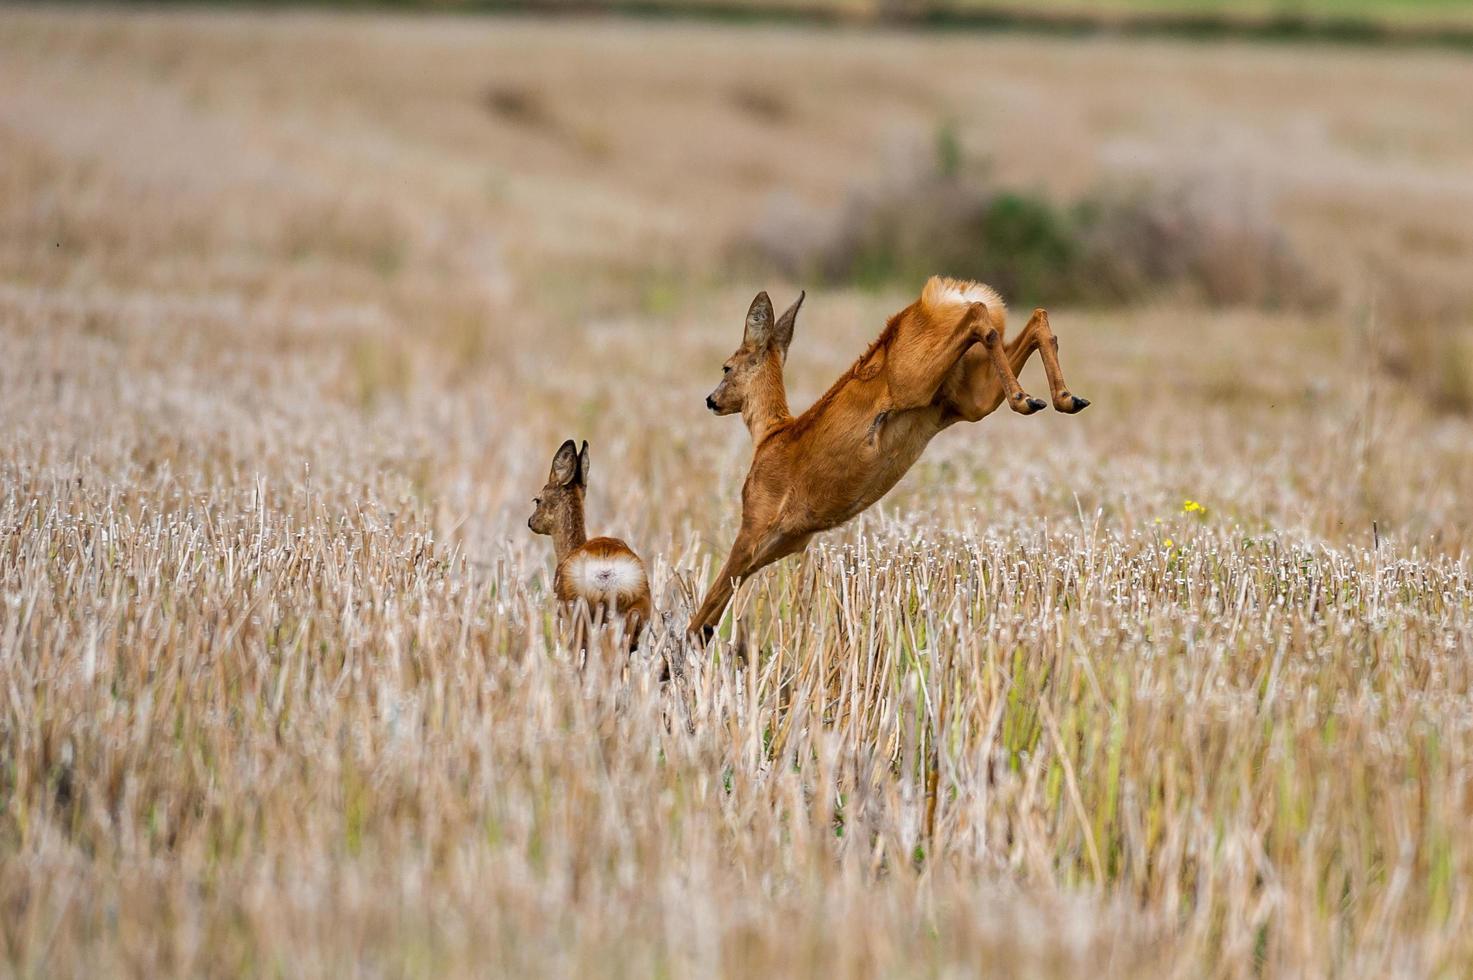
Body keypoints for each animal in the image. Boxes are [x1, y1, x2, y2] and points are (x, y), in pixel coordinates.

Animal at [686, 277, 1084, 642]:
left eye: (726, 367)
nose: (710, 400)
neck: (770, 435)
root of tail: (941, 295)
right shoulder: (788, 541)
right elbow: (715, 607)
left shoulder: (756, 523)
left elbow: (709, 602)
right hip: (969, 398)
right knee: (1033, 318)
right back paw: (1061, 398)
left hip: (916, 379)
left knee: (979, 315)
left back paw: (1027, 396)